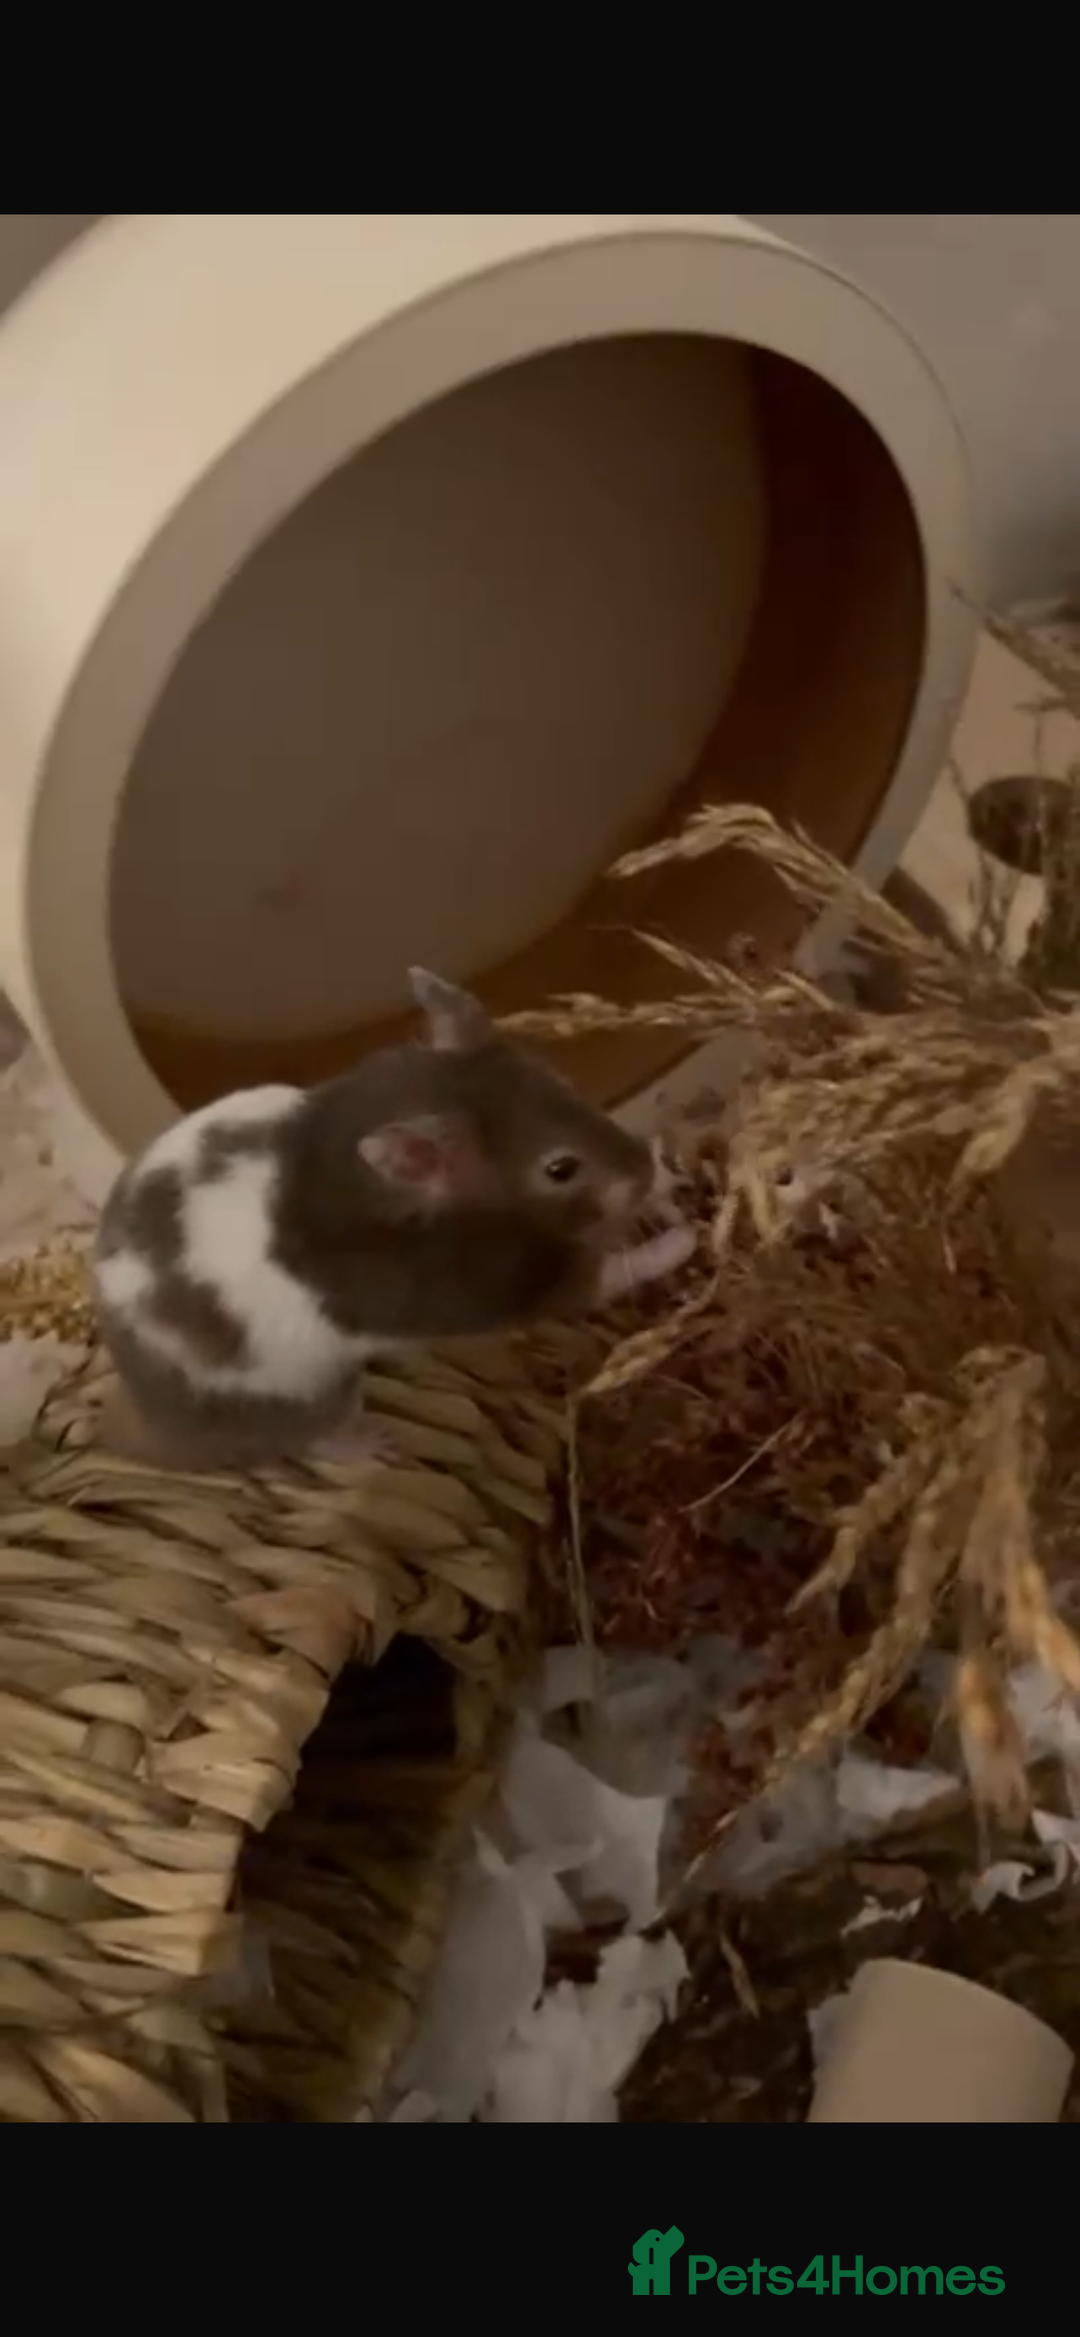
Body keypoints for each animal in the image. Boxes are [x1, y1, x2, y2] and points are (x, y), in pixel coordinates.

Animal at [93, 967, 696, 1471]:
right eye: (560, 1168)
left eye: (566, 1083)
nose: (644, 1170)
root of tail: (148, 1424)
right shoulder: (485, 1292)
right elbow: (604, 1274)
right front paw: (685, 1237)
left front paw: (664, 1191)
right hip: (310, 1395)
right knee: (312, 1443)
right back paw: (378, 1449)